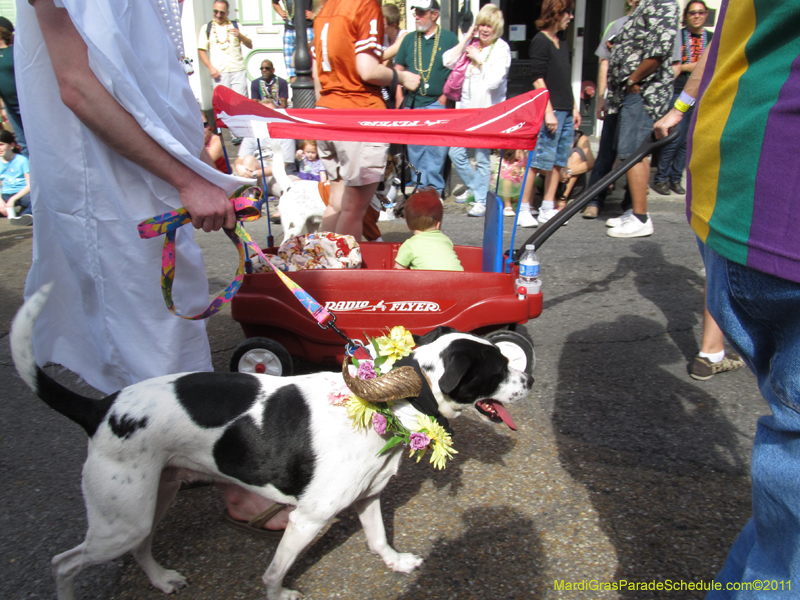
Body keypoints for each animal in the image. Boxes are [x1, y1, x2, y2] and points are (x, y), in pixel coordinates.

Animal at [9, 284, 532, 600]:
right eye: (499, 368)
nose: (529, 381)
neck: (388, 402)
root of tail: (102, 407)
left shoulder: (368, 498)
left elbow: (378, 538)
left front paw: (396, 563)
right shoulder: (307, 520)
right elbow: (274, 572)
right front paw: (280, 593)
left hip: (154, 497)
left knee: (141, 548)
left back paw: (160, 578)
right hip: (120, 520)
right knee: (64, 563)